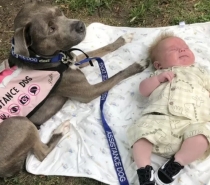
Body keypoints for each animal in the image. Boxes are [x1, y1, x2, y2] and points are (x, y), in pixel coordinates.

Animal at [0, 0, 148, 177]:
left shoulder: (75, 60)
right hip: (20, 123)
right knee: (42, 154)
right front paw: (138, 65)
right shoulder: (89, 92)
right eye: (51, 28)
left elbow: (101, 49)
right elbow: (117, 75)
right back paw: (60, 130)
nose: (80, 25)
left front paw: (123, 39)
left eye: (59, 11)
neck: (43, 59)